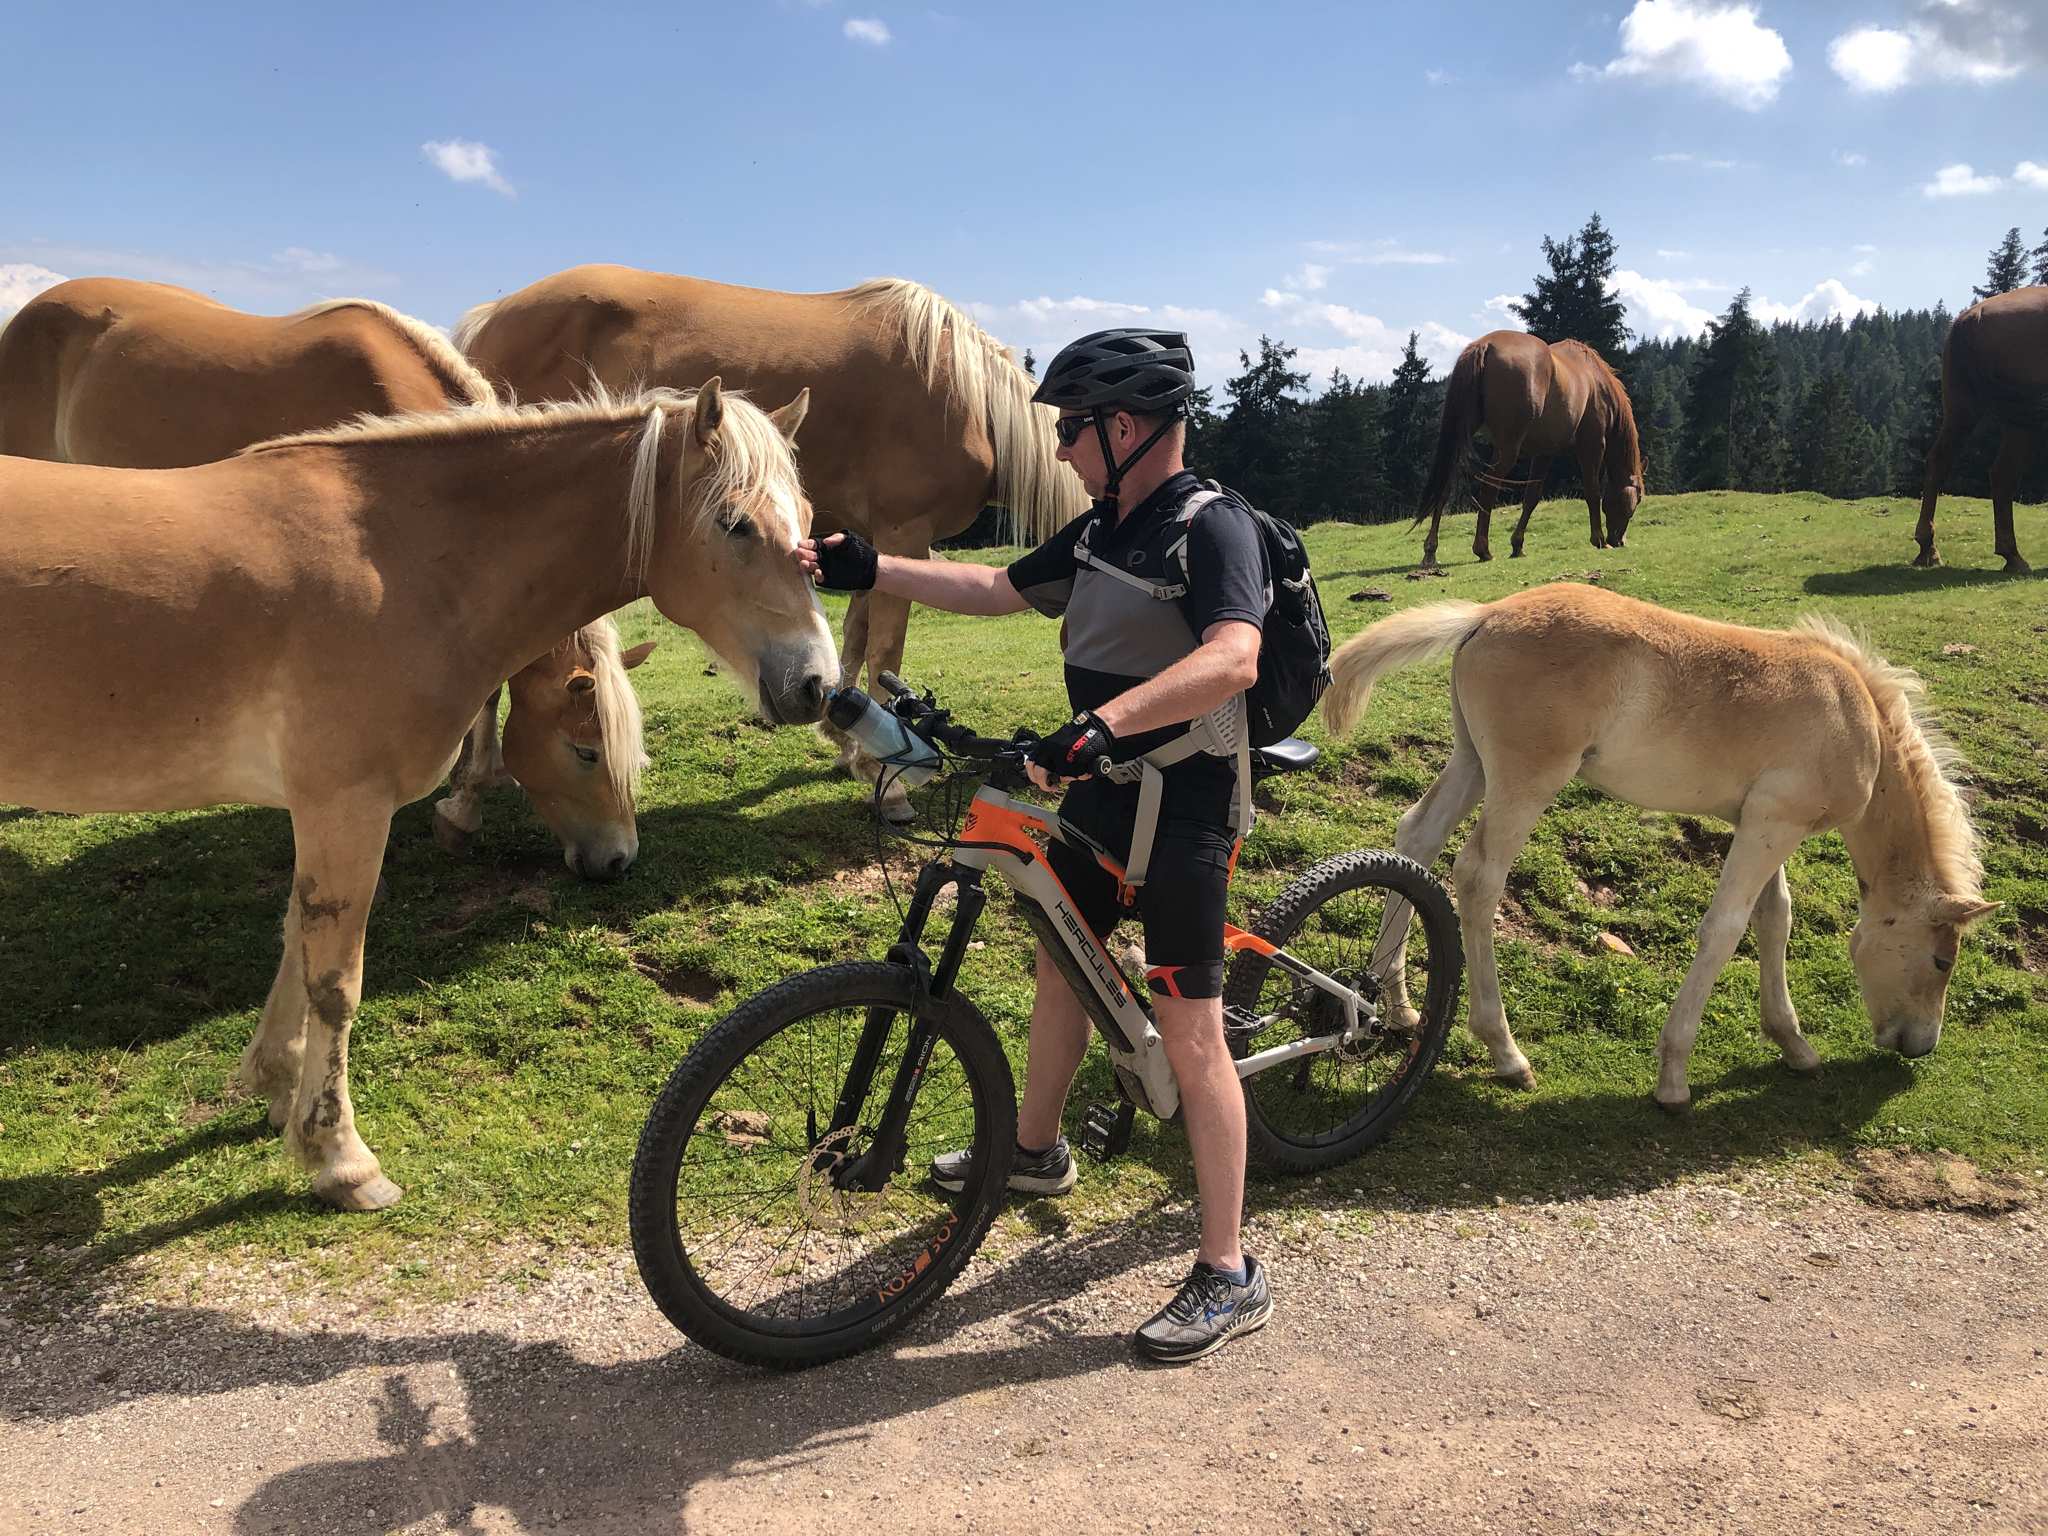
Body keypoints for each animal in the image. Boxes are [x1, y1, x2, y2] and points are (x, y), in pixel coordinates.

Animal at [0, 379, 834, 1208]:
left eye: (809, 525)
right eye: (735, 524)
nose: (817, 685)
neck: (400, 562)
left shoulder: (318, 811)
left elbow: (296, 939)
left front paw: (276, 1087)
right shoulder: (346, 807)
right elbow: (335, 982)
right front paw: (339, 1156)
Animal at [453, 264, 1087, 820]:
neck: (967, 394)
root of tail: (489, 317)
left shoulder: (867, 544)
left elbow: (854, 639)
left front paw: (850, 745)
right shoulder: (905, 532)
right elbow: (885, 650)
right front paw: (890, 783)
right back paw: (474, 786)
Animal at [1322, 583, 1996, 1108]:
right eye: (1943, 960)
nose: (1920, 1045)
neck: (1857, 723)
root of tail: (1484, 615)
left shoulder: (1761, 822)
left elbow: (1774, 918)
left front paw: (1793, 1043)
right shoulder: (1775, 824)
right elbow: (1725, 928)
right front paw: (1673, 1077)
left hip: (1473, 761)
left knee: (1419, 836)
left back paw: (1396, 1004)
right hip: (1527, 779)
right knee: (1478, 875)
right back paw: (1506, 1053)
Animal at [1414, 331, 1644, 568]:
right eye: (1637, 500)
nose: (1619, 540)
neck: (1596, 381)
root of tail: (1484, 345)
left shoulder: (1544, 453)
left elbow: (1531, 498)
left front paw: (1517, 545)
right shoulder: (1592, 444)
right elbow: (1592, 491)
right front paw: (1598, 539)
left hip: (1465, 437)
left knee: (1445, 486)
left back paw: (1431, 551)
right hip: (1508, 448)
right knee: (1489, 487)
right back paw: (1483, 549)